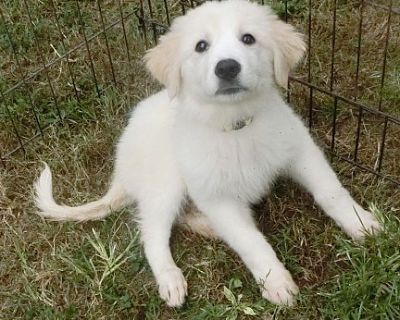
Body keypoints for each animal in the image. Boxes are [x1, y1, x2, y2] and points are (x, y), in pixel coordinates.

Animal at [36, 0, 382, 308]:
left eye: (248, 38)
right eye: (201, 46)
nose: (227, 67)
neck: (236, 125)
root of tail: (121, 167)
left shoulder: (301, 149)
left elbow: (331, 193)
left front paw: (363, 225)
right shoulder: (216, 196)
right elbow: (250, 242)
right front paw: (276, 281)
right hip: (165, 182)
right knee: (153, 234)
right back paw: (171, 278)